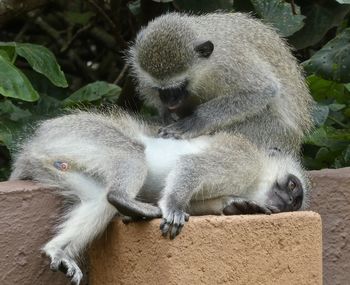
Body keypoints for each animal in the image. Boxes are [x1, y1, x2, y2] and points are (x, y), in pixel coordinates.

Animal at [9, 111, 308, 284]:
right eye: (293, 185)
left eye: (294, 201)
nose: (285, 202)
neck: (255, 178)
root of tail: (35, 144)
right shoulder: (241, 158)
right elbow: (191, 166)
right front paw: (174, 207)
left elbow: (199, 201)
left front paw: (237, 205)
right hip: (82, 134)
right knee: (130, 152)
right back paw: (126, 200)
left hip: (60, 162)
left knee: (98, 200)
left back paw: (58, 250)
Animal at [127, 12, 314, 153]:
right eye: (158, 88)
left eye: (182, 84)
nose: (169, 101)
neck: (206, 70)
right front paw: (165, 113)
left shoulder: (230, 63)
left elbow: (263, 90)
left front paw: (197, 120)